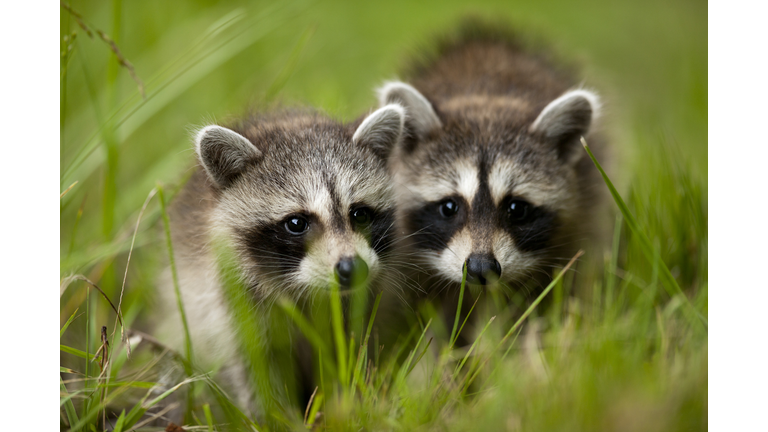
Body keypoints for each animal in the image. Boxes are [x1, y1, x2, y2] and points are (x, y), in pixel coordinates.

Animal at [157, 103, 408, 416]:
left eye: (360, 214)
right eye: (297, 223)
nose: (352, 268)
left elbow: (356, 350)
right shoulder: (230, 302)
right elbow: (256, 368)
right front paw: (275, 417)